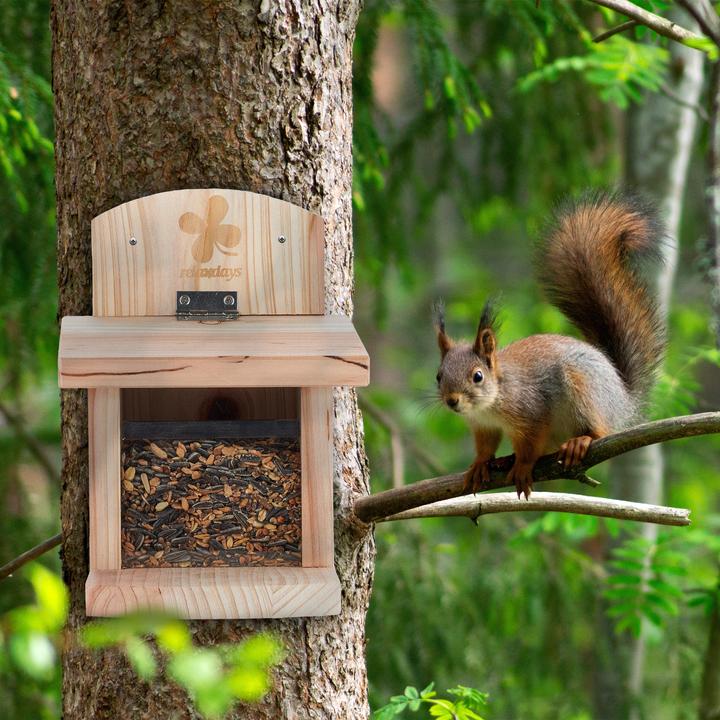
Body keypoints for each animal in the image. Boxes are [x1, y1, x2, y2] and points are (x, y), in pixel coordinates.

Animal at [434, 192, 665, 499]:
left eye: (478, 376)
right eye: (439, 376)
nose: (452, 400)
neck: (492, 401)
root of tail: (623, 399)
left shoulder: (532, 411)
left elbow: (531, 445)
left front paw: (522, 466)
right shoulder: (483, 427)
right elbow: (486, 447)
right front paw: (480, 464)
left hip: (584, 387)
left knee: (601, 431)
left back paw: (580, 441)